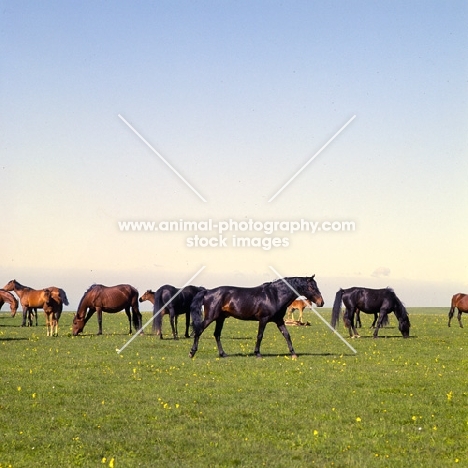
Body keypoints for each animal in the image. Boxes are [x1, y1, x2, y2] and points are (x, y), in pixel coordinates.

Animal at [186, 276, 322, 360]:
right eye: (311, 287)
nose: (321, 302)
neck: (275, 295)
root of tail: (208, 292)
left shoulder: (279, 321)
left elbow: (287, 335)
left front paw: (293, 354)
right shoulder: (263, 319)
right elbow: (260, 336)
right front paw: (258, 354)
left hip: (220, 318)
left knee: (217, 334)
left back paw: (223, 354)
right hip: (211, 317)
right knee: (199, 331)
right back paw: (192, 353)